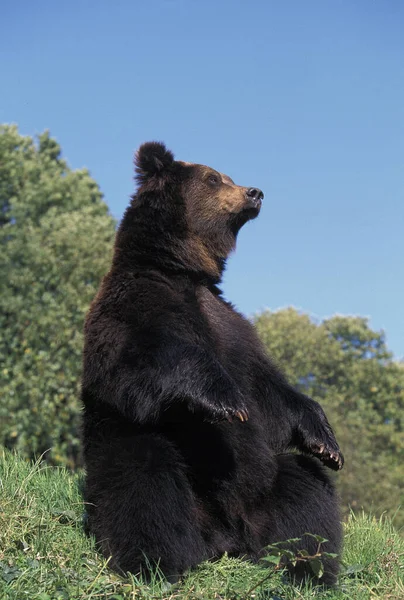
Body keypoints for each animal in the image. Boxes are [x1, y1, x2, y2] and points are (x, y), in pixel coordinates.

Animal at [82, 142, 344, 584]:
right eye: (213, 178)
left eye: (228, 175)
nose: (255, 192)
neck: (184, 268)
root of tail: (228, 540)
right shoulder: (134, 306)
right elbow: (139, 363)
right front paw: (224, 400)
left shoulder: (234, 328)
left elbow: (270, 391)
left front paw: (326, 441)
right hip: (154, 468)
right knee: (145, 481)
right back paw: (157, 563)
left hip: (266, 490)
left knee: (306, 489)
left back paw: (306, 566)